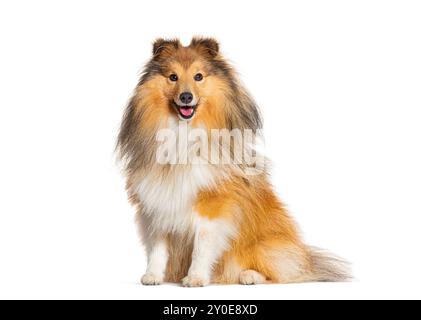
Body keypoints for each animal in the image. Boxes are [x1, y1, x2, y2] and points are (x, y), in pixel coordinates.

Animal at [115, 36, 348, 286]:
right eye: (173, 77)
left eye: (199, 76)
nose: (186, 97)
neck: (183, 132)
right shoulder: (156, 201)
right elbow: (158, 247)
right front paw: (153, 276)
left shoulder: (213, 204)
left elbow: (202, 245)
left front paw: (195, 278)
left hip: (265, 246)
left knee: (283, 273)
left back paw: (249, 276)